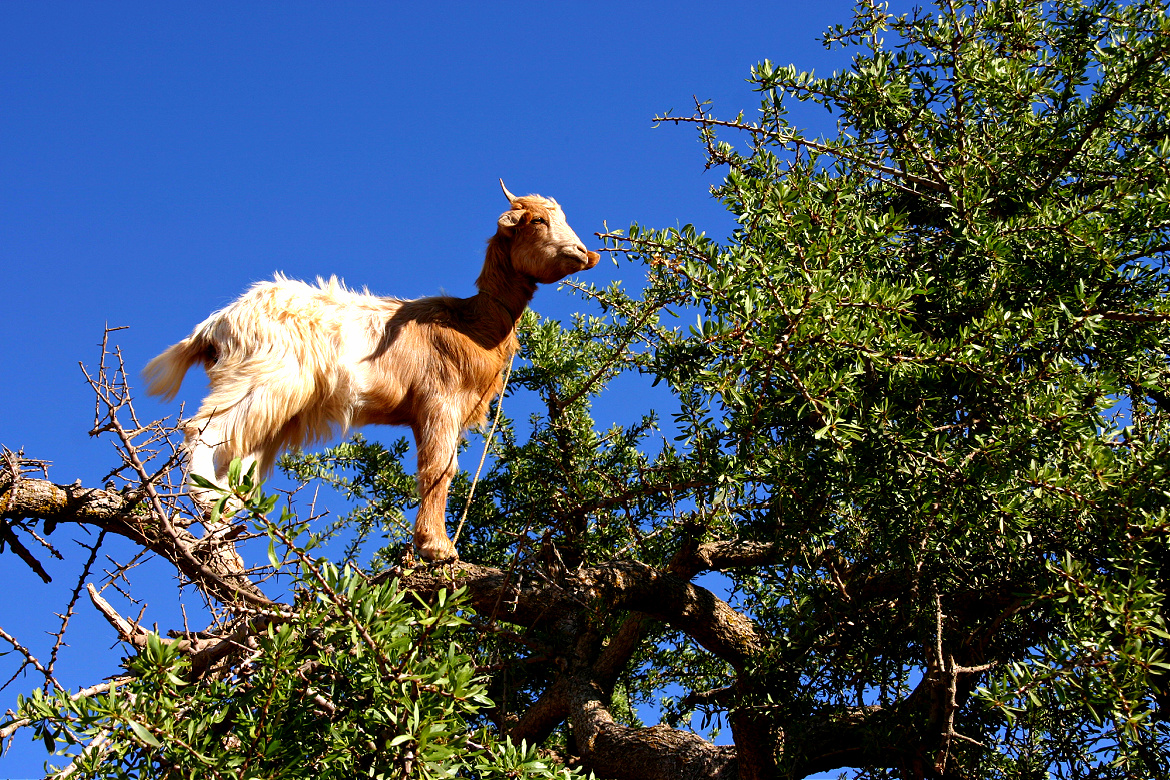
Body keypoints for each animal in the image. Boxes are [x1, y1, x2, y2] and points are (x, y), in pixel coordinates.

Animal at [145, 181, 599, 561]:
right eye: (537, 220)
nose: (584, 254)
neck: (472, 322)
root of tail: (217, 322)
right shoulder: (439, 402)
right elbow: (439, 469)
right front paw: (437, 548)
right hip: (262, 377)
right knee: (204, 429)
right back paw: (206, 500)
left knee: (237, 457)